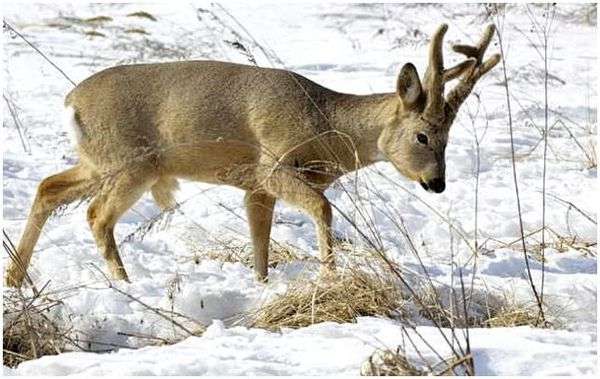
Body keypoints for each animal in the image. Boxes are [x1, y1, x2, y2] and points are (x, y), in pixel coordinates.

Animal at [4, 23, 502, 288]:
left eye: (449, 137)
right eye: (422, 136)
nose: (437, 183)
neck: (324, 123)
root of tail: (71, 102)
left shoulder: (254, 187)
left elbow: (259, 242)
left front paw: (262, 287)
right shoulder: (272, 163)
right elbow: (322, 207)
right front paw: (328, 277)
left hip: (99, 161)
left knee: (47, 188)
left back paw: (16, 279)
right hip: (133, 162)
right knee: (96, 215)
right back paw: (125, 284)